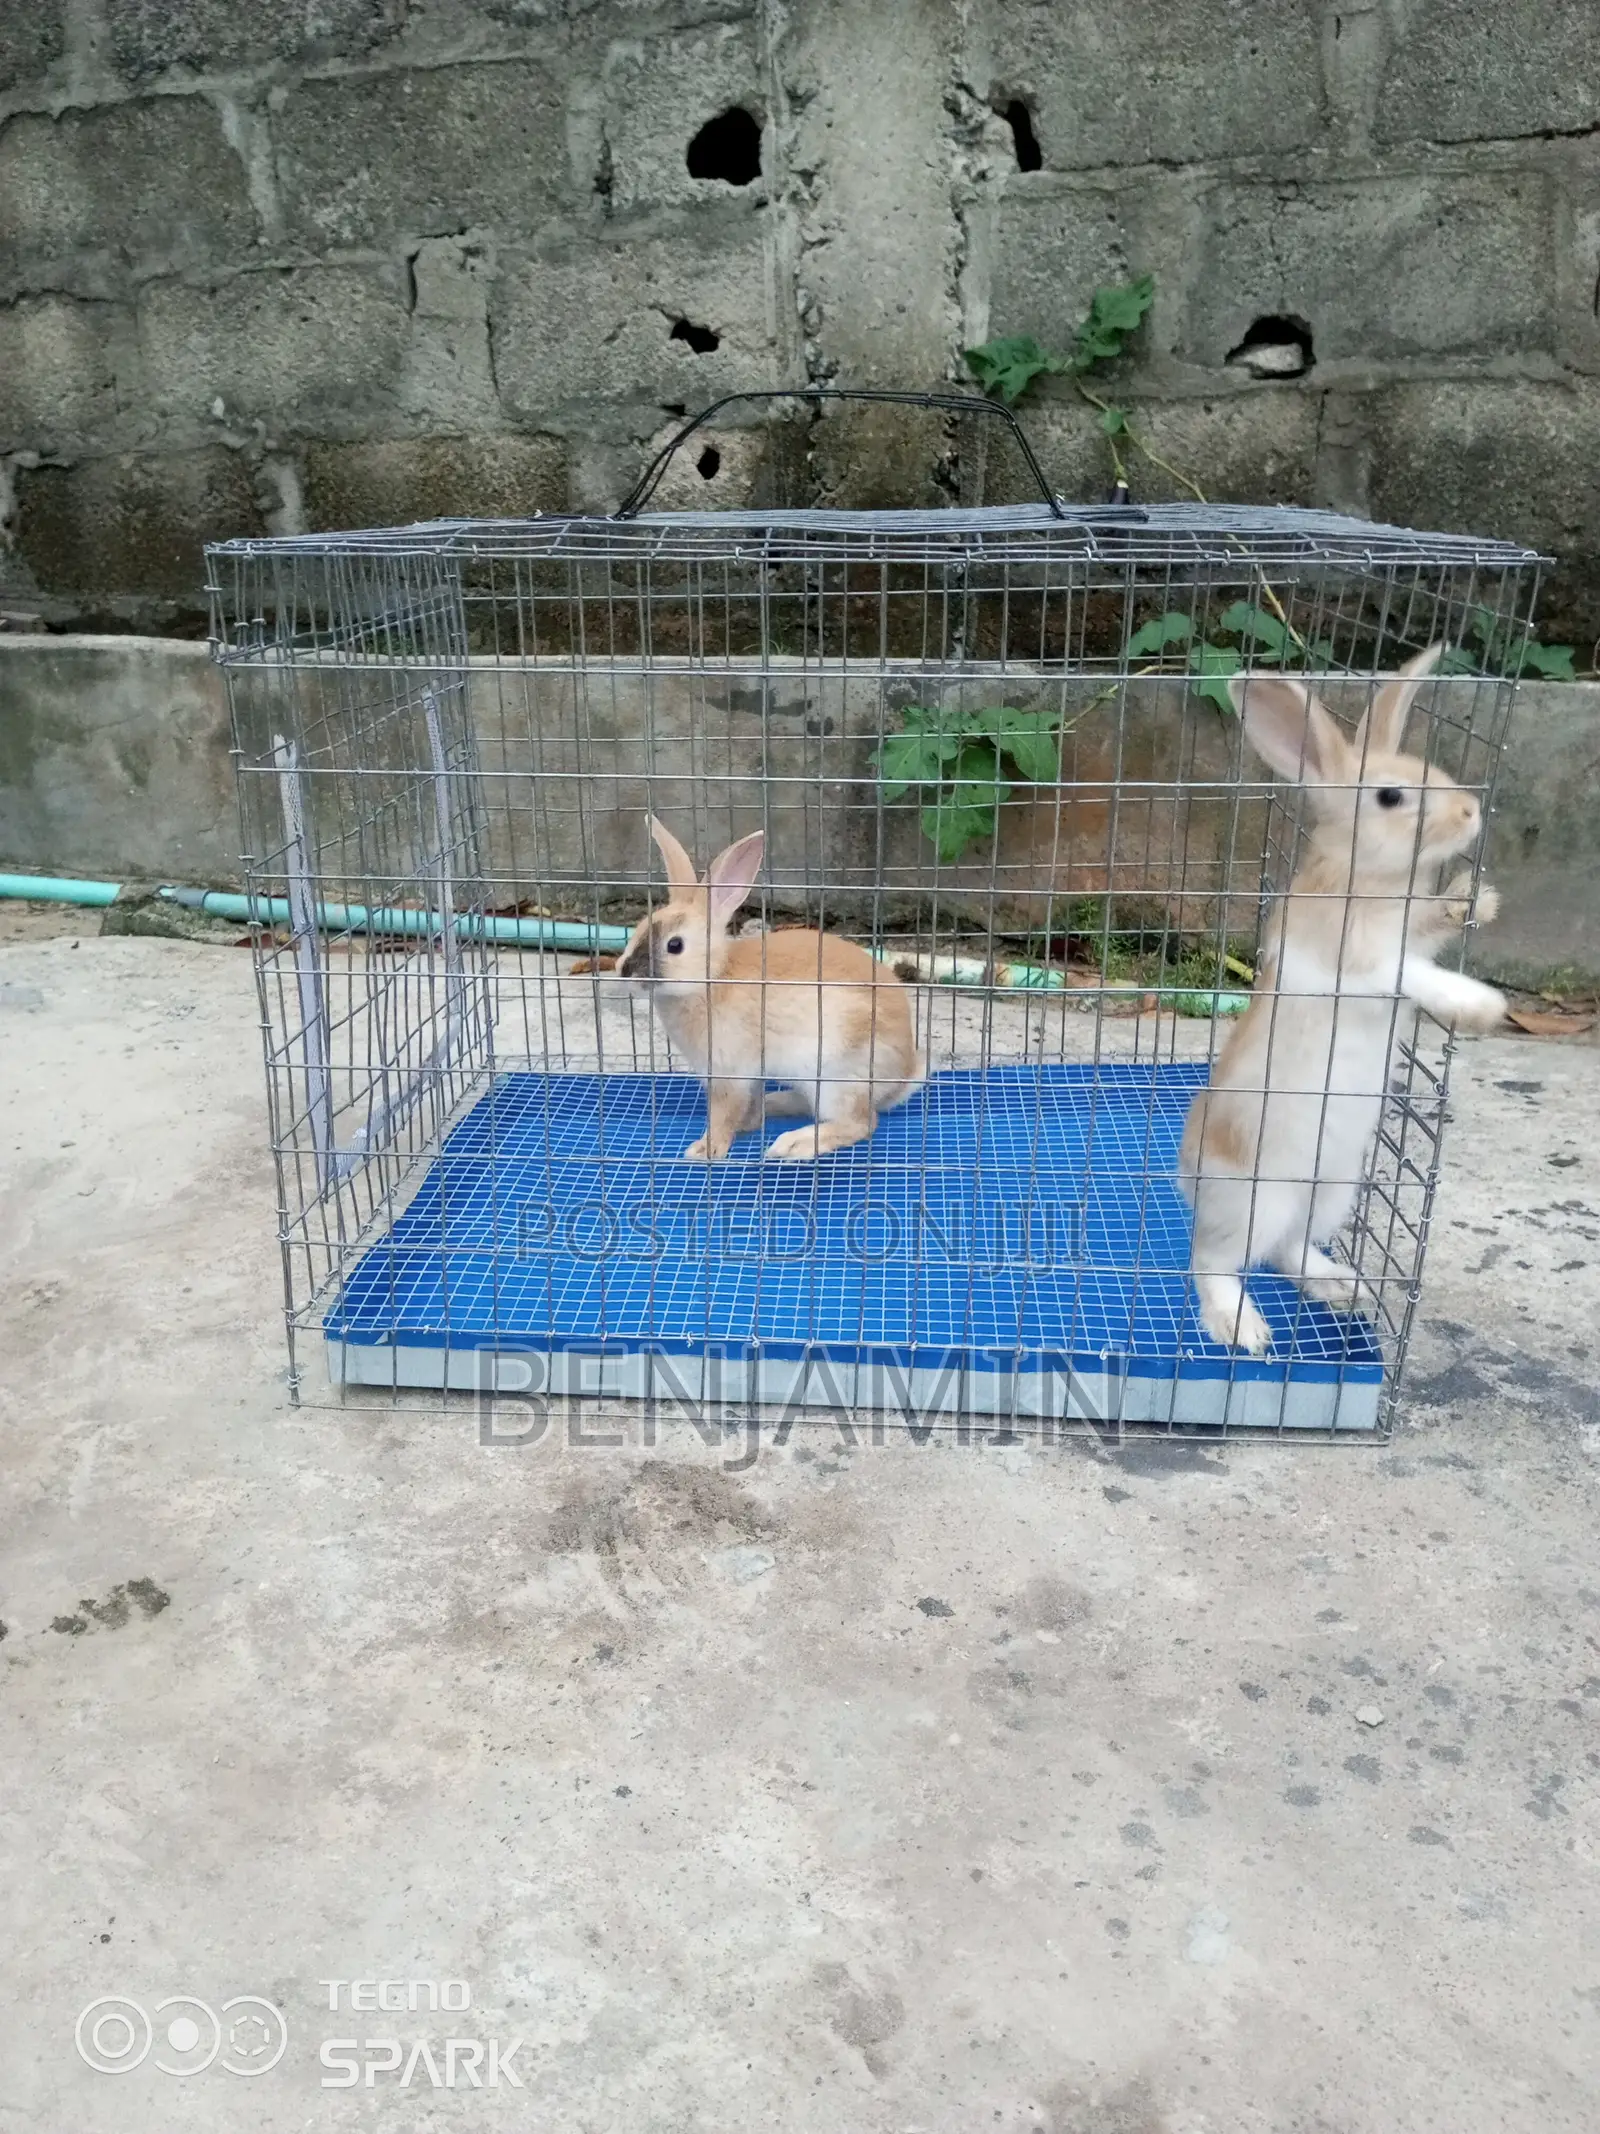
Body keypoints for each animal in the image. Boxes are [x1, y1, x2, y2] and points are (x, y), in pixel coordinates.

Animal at [615, 816, 925, 1161]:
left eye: (675, 945)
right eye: (640, 928)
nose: (624, 971)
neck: (712, 979)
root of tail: (902, 1076)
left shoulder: (729, 1074)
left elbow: (724, 1113)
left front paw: (705, 1150)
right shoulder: (746, 1077)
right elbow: (747, 1107)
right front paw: (747, 1125)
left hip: (836, 1078)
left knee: (861, 1122)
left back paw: (794, 1143)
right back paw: (776, 1105)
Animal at [1178, 644, 1505, 1355]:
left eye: (1432, 769)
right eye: (1390, 796)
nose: (1471, 813)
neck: (1366, 877)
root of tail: (1189, 1178)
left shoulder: (1410, 931)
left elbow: (1430, 931)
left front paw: (1476, 898)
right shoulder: (1357, 959)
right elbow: (1411, 973)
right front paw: (1480, 1006)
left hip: (1333, 1191)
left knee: (1289, 1251)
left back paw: (1342, 1286)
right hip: (1258, 1199)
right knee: (1214, 1262)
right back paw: (1242, 1328)